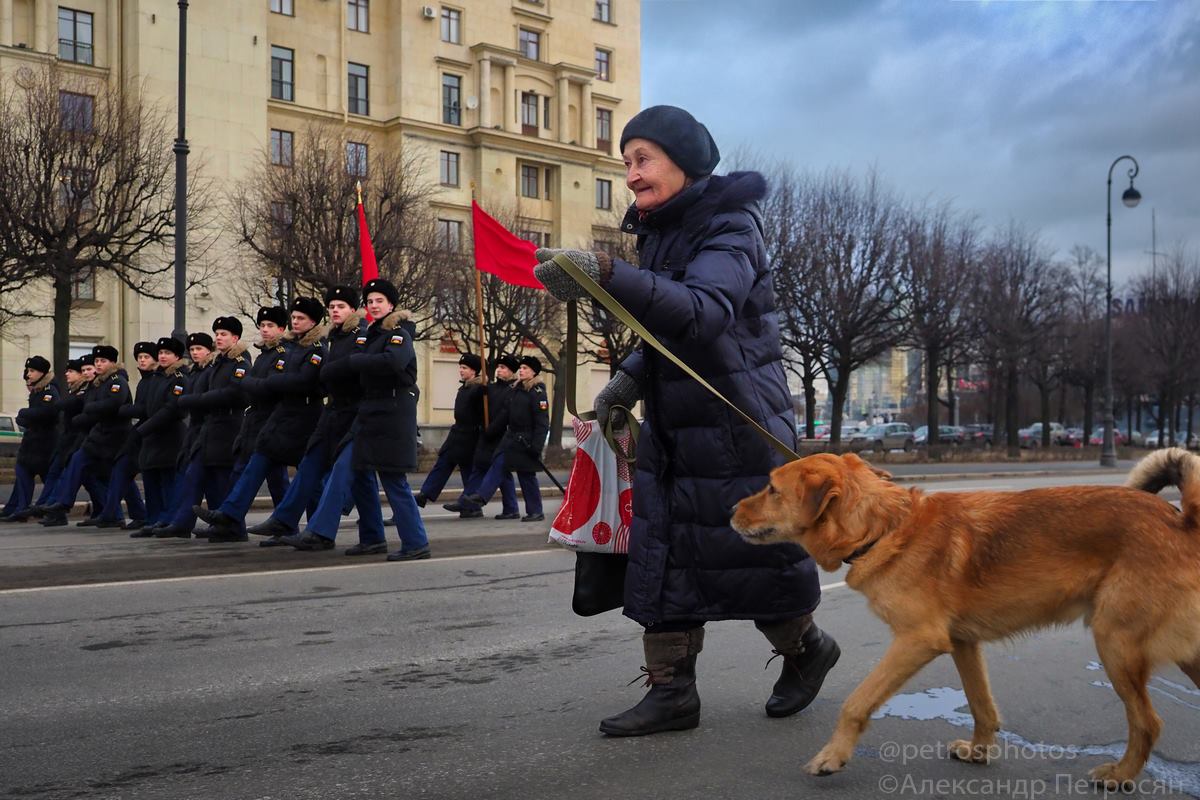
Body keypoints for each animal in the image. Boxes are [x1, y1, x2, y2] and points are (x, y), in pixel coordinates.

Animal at [724, 448, 1200, 791]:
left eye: (771, 489)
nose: (729, 511)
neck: (887, 527)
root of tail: (1181, 521)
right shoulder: (963, 644)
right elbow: (981, 705)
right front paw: (979, 752)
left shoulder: (917, 641)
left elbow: (857, 702)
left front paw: (833, 756)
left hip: (1115, 646)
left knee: (1147, 723)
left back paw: (1121, 776)